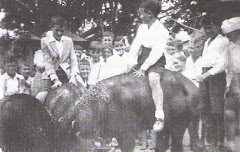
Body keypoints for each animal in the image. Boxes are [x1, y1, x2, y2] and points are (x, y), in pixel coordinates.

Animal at [45, 69, 202, 151]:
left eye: (70, 146)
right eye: (56, 141)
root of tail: (191, 87)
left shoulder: (128, 135)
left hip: (179, 126)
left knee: (176, 145)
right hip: (167, 128)